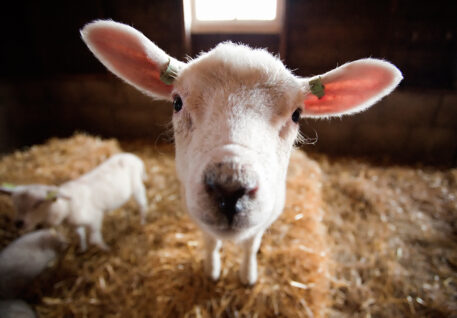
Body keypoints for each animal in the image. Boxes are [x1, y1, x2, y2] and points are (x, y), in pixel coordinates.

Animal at [1, 153, 148, 251]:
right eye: (14, 204)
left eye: (38, 203)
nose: (18, 223)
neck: (66, 206)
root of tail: (133, 157)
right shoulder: (76, 224)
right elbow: (80, 234)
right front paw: (82, 249)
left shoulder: (95, 218)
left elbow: (95, 239)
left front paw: (106, 249)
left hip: (137, 186)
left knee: (142, 204)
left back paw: (142, 222)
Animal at [80, 19, 400, 284]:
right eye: (177, 102)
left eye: (297, 114)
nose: (229, 188)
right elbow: (210, 242)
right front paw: (211, 271)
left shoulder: (265, 216)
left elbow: (250, 246)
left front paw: (248, 276)